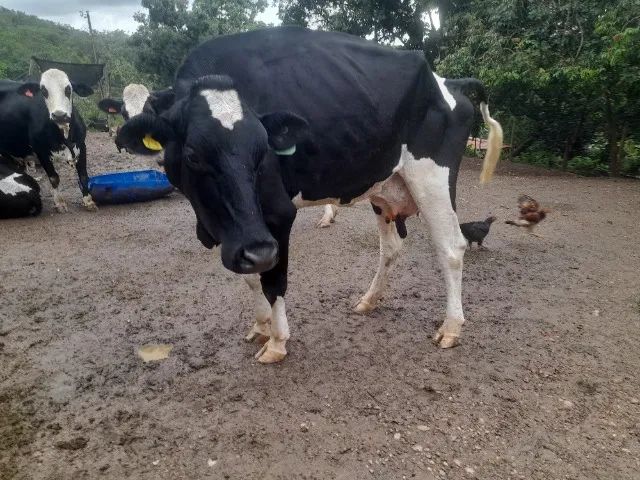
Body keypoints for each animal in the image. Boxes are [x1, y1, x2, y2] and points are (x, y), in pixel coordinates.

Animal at [0, 69, 96, 212]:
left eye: (68, 89)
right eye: (44, 91)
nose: (59, 115)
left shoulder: (81, 145)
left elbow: (83, 176)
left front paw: (88, 201)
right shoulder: (41, 151)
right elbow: (54, 178)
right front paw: (60, 202)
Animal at [116, 27, 503, 363]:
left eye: (262, 150)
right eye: (193, 154)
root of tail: (448, 81)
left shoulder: (273, 216)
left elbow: (273, 279)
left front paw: (276, 343)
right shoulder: (237, 231)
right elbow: (249, 276)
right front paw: (260, 326)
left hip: (433, 180)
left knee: (451, 247)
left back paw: (451, 328)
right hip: (384, 187)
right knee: (391, 248)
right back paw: (369, 300)